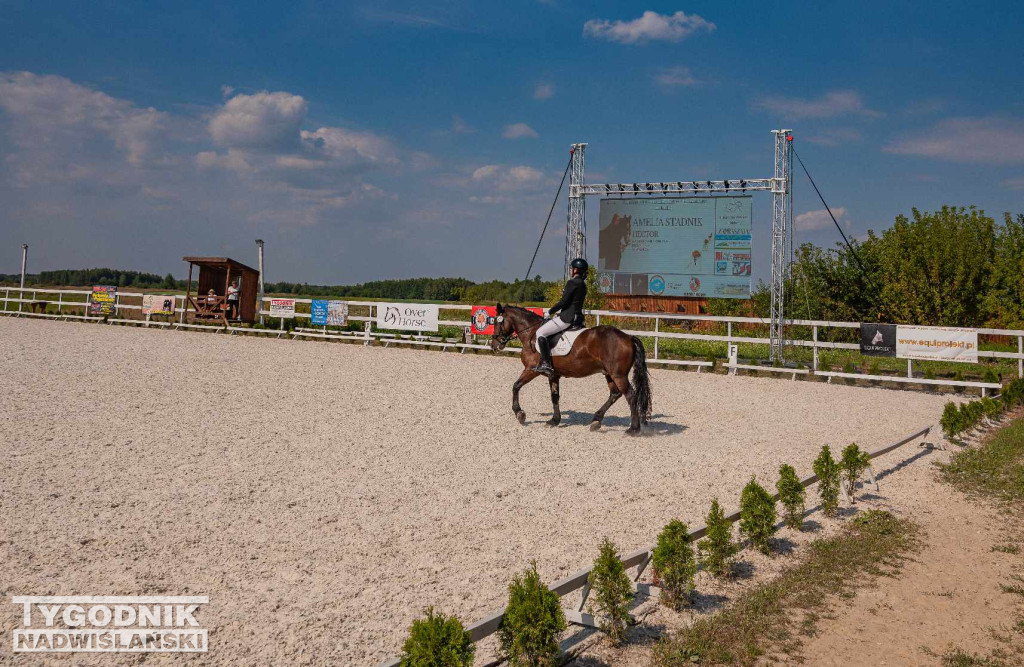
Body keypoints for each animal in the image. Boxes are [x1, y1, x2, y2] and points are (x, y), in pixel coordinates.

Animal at [489, 303, 651, 438]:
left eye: (496, 322)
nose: (494, 345)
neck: (531, 333)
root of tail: (628, 337)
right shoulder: (553, 375)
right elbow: (554, 396)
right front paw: (554, 420)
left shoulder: (531, 369)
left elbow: (515, 386)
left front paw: (520, 414)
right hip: (609, 374)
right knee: (615, 394)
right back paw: (596, 421)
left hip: (618, 375)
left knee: (630, 396)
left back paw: (633, 429)